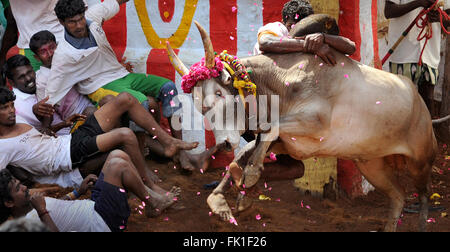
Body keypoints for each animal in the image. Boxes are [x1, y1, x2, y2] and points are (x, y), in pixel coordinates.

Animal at [167, 21, 438, 232]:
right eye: (199, 105)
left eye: (220, 93)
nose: (223, 143)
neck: (282, 82)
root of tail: (420, 102)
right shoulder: (288, 144)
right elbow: (246, 152)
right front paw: (224, 199)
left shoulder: (315, 123)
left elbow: (268, 130)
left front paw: (250, 176)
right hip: (371, 165)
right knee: (398, 196)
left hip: (421, 160)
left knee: (423, 196)